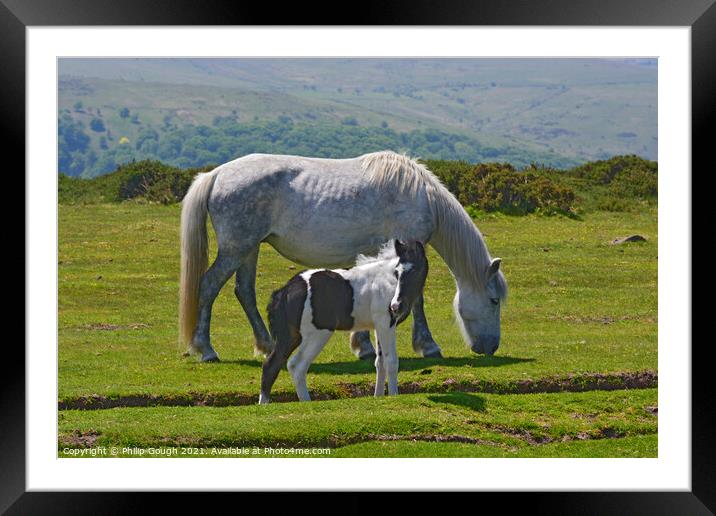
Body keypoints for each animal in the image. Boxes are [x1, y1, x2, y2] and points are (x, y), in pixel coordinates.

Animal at [179, 151, 506, 362]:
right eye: (494, 300)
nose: (491, 347)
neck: (418, 196)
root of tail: (216, 174)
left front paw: (363, 347)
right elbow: (417, 300)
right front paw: (428, 346)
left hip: (249, 248)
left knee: (244, 291)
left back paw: (267, 344)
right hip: (237, 248)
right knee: (208, 286)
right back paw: (206, 350)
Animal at [258, 240, 428, 406]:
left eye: (414, 271)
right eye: (397, 272)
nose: (395, 306)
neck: (386, 280)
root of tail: (285, 290)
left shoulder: (378, 326)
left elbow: (380, 362)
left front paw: (378, 397)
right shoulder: (386, 323)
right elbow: (391, 361)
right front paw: (394, 396)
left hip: (291, 336)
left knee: (271, 365)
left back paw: (264, 404)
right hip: (318, 334)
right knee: (296, 365)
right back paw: (307, 403)